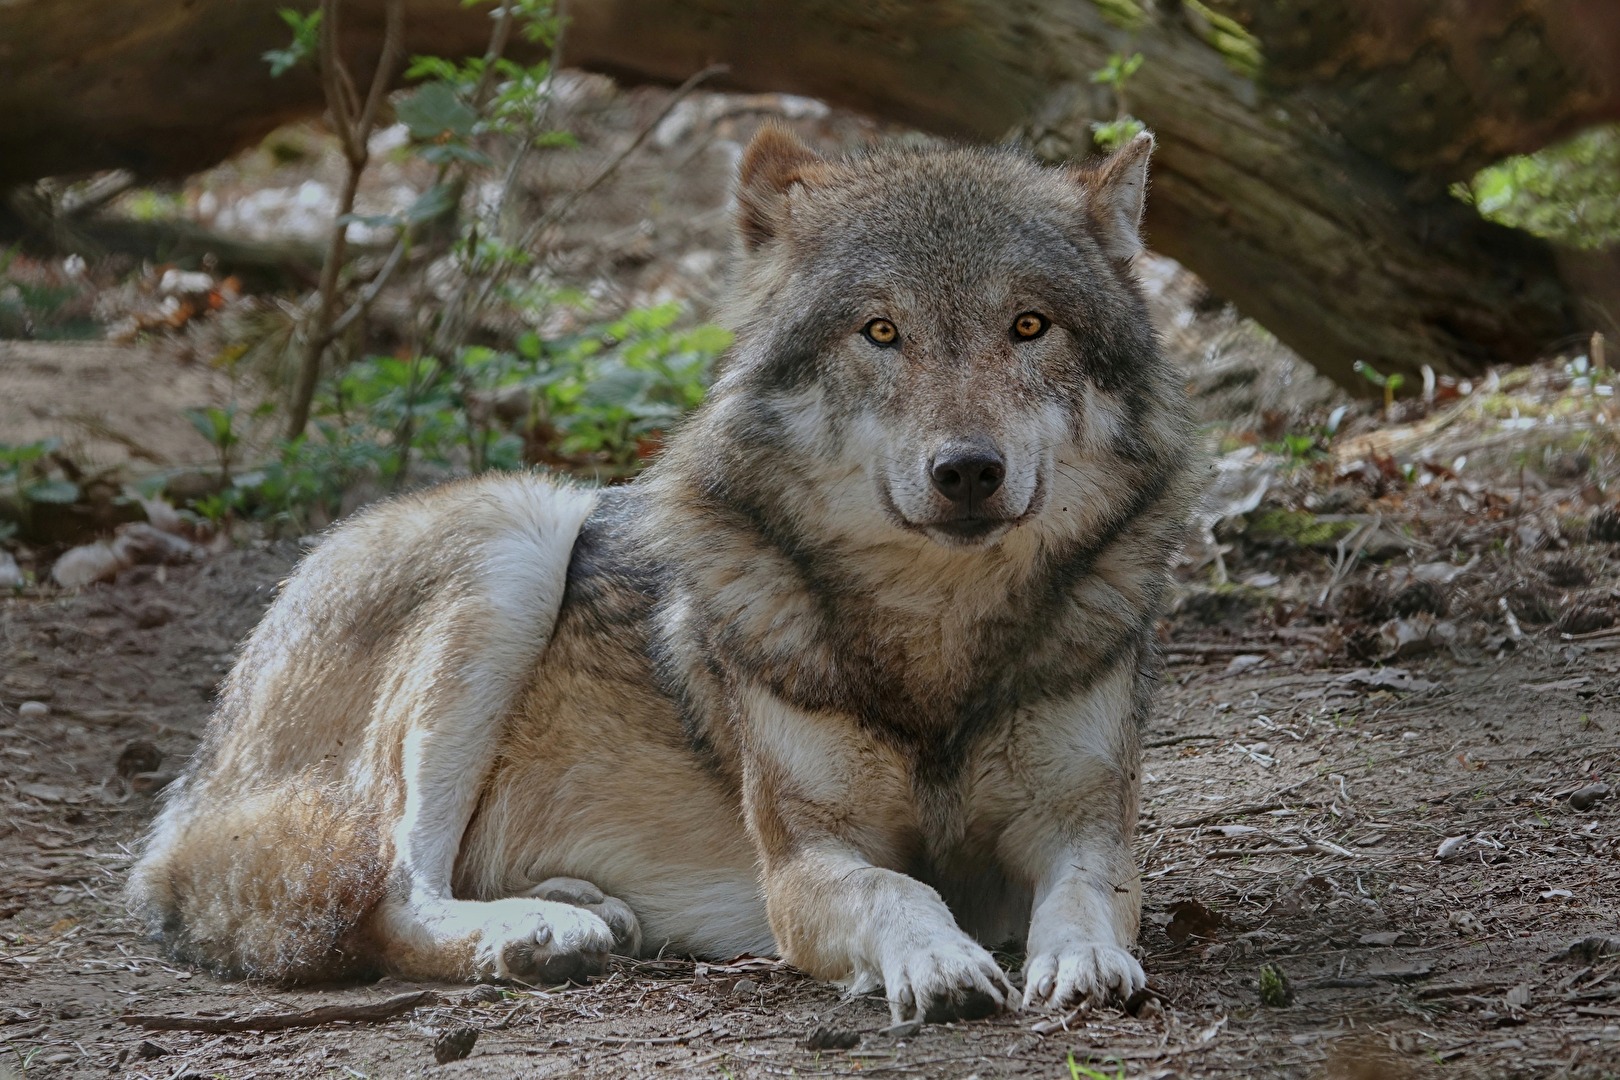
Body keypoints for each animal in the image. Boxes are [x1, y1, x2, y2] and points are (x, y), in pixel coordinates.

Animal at [126, 125, 1198, 1023]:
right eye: (880, 332)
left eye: (1030, 326)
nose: (968, 471)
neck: (938, 636)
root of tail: (192, 783)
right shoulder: (803, 864)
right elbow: (897, 888)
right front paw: (939, 961)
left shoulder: (1085, 824)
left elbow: (1088, 894)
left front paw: (1084, 963)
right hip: (517, 532)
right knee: (390, 895)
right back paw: (534, 934)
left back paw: (575, 908)